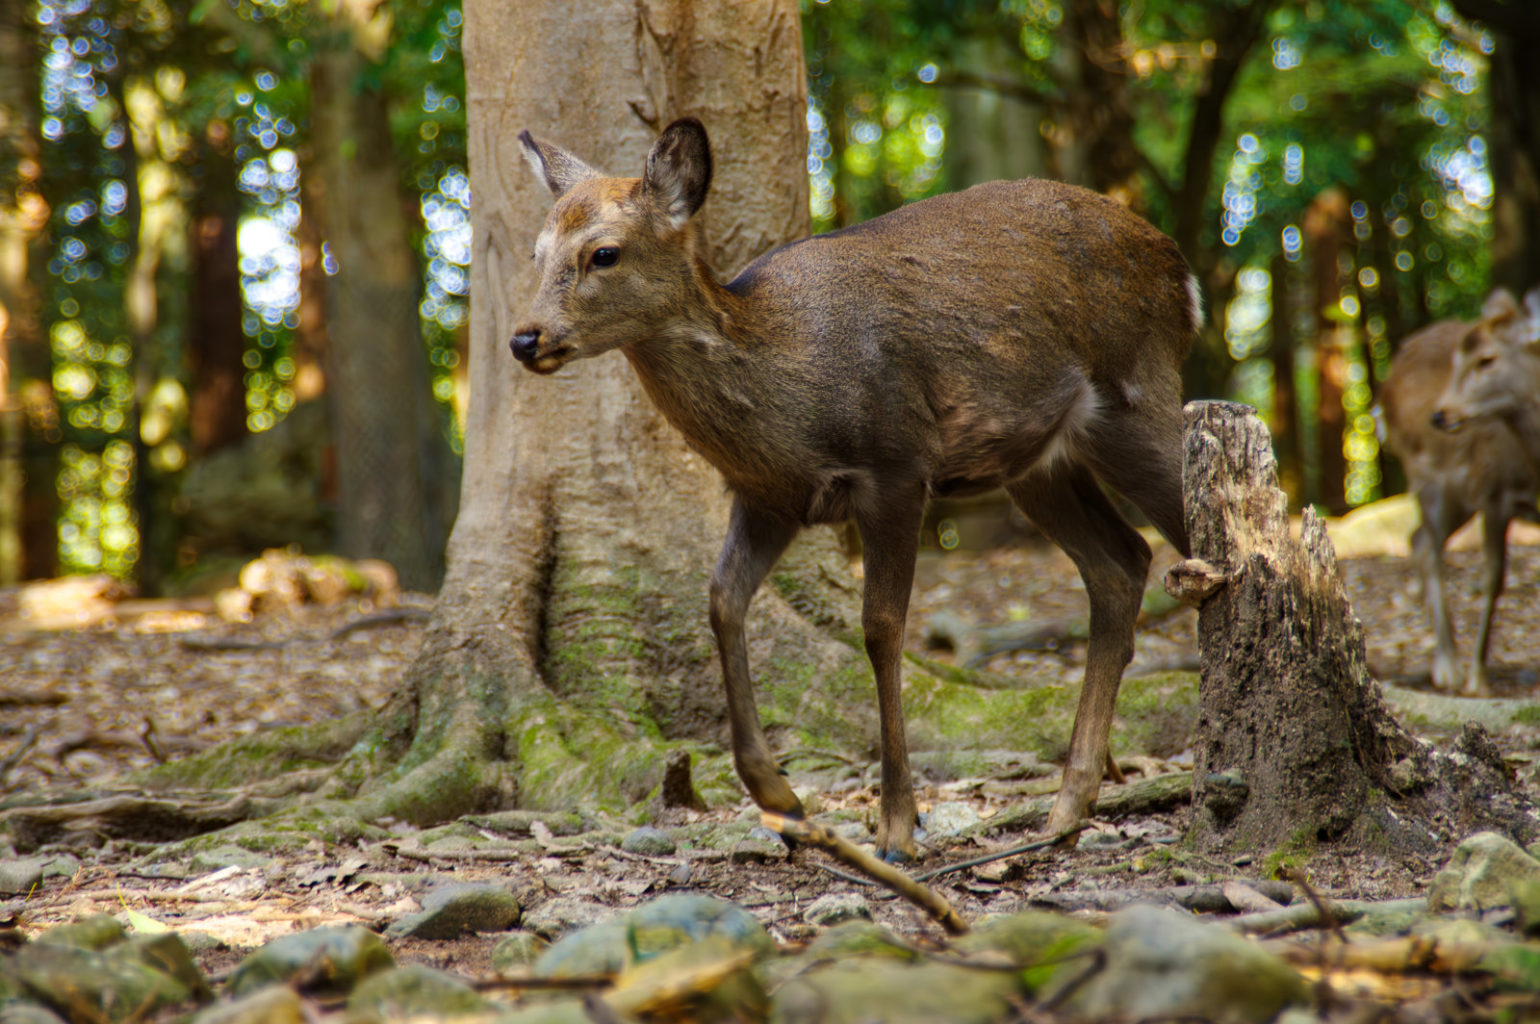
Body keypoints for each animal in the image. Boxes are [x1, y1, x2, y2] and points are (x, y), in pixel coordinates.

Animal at [511, 115, 1195, 856]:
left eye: (604, 254)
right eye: (537, 253)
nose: (524, 338)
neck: (786, 388)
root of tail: (1177, 264)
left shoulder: (897, 464)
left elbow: (881, 627)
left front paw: (897, 826)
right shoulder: (766, 497)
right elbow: (722, 600)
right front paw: (780, 799)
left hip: (1136, 392)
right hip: (1037, 462)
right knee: (1122, 560)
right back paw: (1068, 809)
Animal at [1386, 287, 1540, 696]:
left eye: (1487, 359)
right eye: (1458, 359)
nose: (1441, 414)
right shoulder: (1495, 493)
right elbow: (1493, 577)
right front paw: (1477, 679)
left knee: (1417, 540)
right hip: (1430, 481)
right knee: (1425, 546)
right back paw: (1448, 667)